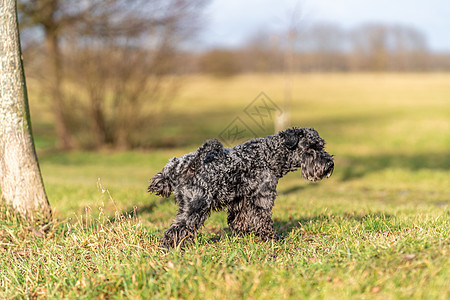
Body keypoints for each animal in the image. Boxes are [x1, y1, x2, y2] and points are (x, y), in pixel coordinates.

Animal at [149, 128, 334, 248]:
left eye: (321, 146)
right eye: (310, 147)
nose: (329, 164)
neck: (269, 156)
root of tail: (180, 166)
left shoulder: (241, 199)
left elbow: (239, 219)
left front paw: (241, 236)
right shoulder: (262, 197)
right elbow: (263, 219)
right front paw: (272, 240)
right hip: (196, 206)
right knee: (176, 229)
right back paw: (171, 248)